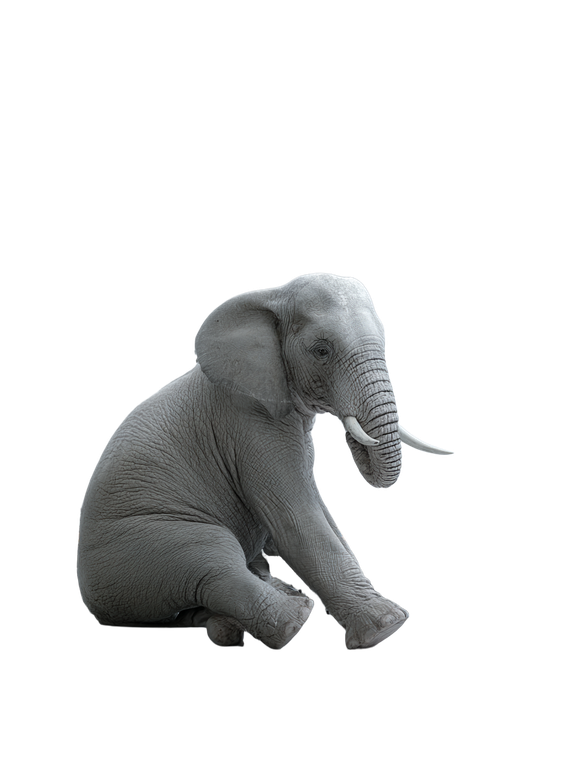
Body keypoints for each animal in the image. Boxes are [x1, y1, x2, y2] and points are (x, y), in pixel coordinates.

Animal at [77, 272, 454, 648]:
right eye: (321, 351)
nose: (357, 436)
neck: (274, 297)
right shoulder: (250, 426)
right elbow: (295, 519)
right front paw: (386, 627)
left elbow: (320, 513)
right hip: (142, 550)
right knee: (213, 557)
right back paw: (294, 616)